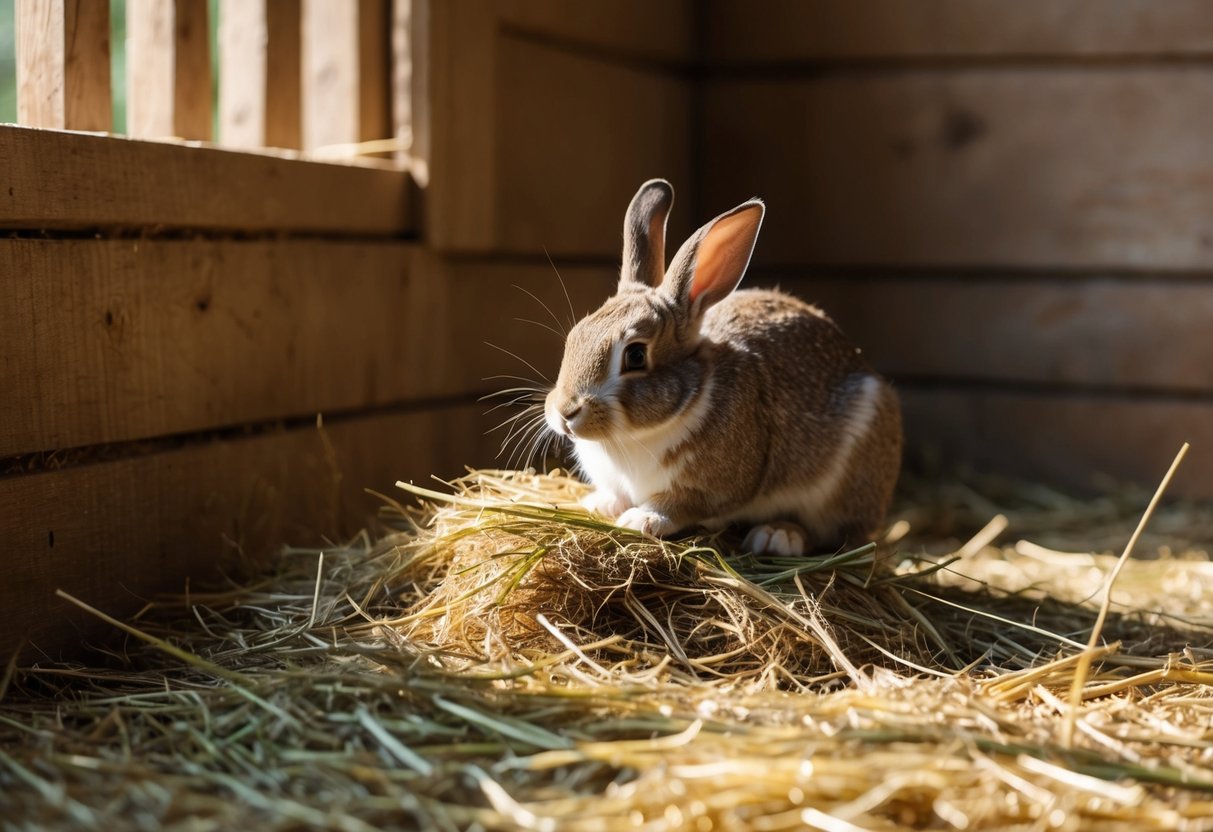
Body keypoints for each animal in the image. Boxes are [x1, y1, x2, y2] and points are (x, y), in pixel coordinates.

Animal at [543, 179, 902, 556]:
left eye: (636, 356)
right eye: (575, 336)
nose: (565, 412)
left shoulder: (708, 488)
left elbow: (679, 504)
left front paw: (641, 520)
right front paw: (601, 504)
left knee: (833, 535)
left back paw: (777, 536)